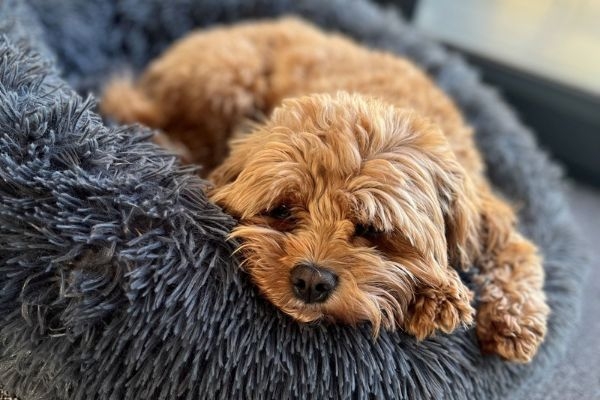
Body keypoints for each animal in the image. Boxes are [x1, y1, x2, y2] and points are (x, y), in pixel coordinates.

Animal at [102, 16, 548, 362]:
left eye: (374, 231)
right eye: (282, 210)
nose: (311, 280)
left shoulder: (486, 213)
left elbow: (517, 252)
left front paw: (506, 318)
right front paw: (438, 296)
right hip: (226, 79)